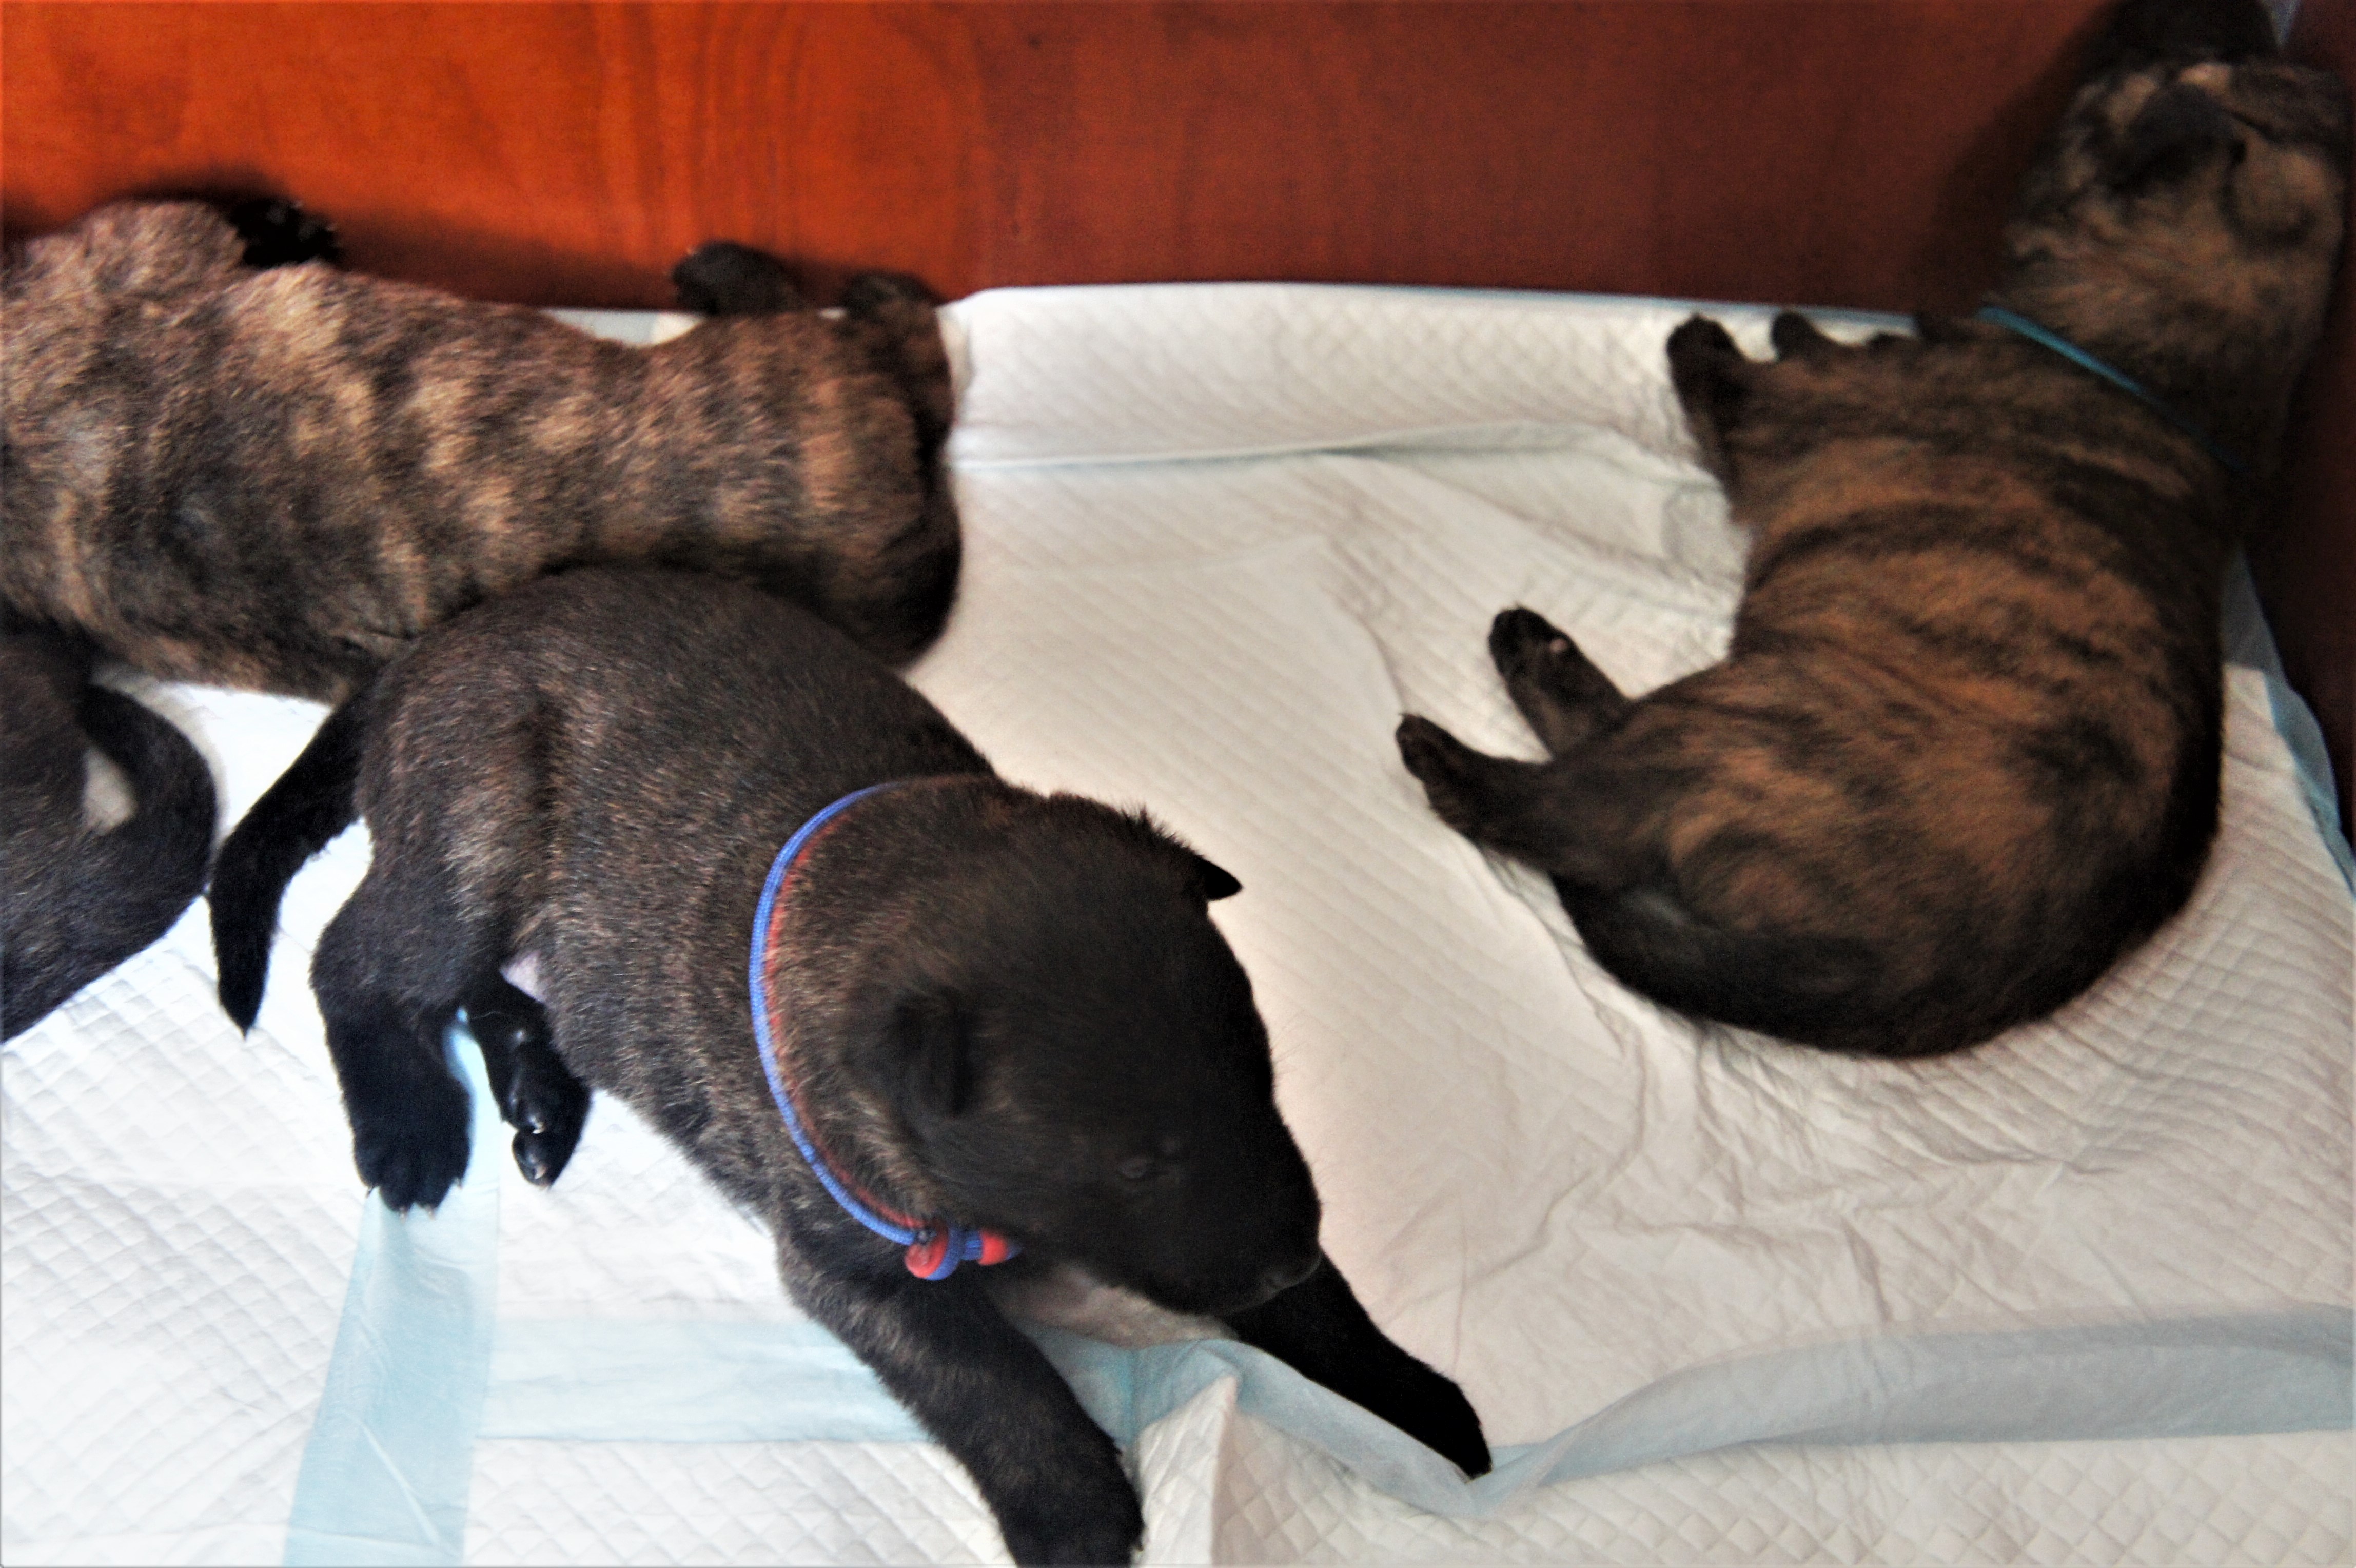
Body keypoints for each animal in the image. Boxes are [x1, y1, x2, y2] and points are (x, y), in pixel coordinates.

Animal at [208, 567, 1489, 1563]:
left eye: (1264, 1072)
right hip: (478, 828)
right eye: (1132, 1166)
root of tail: (420, 656)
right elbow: (993, 1375)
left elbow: (1324, 1313)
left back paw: (539, 1084)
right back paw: (410, 1119)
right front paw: (1073, 1510)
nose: (1284, 1254)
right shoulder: (852, 1264)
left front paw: (1411, 1395)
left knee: (500, 979)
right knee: (359, 957)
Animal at [1396, 0, 2349, 1057]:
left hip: (1740, 721)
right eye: (2226, 55)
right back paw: (1544, 655)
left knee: (1576, 817)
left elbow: (1716, 368)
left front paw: (1723, 330)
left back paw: (1462, 747)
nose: (2238, 15)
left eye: (2181, 63)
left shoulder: (1767, 422)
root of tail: (1909, 976)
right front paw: (1797, 325)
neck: (2154, 367)